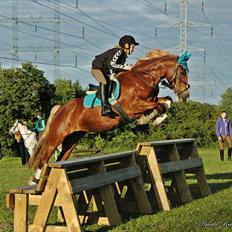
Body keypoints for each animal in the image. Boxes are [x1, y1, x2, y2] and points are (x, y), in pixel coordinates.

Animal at [27, 49, 190, 181]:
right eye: (182, 72)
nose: (185, 95)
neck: (143, 78)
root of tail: (61, 109)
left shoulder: (150, 100)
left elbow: (166, 101)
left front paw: (156, 118)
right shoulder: (133, 106)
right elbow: (160, 105)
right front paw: (149, 119)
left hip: (72, 140)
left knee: (60, 158)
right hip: (56, 137)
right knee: (43, 158)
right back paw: (35, 180)